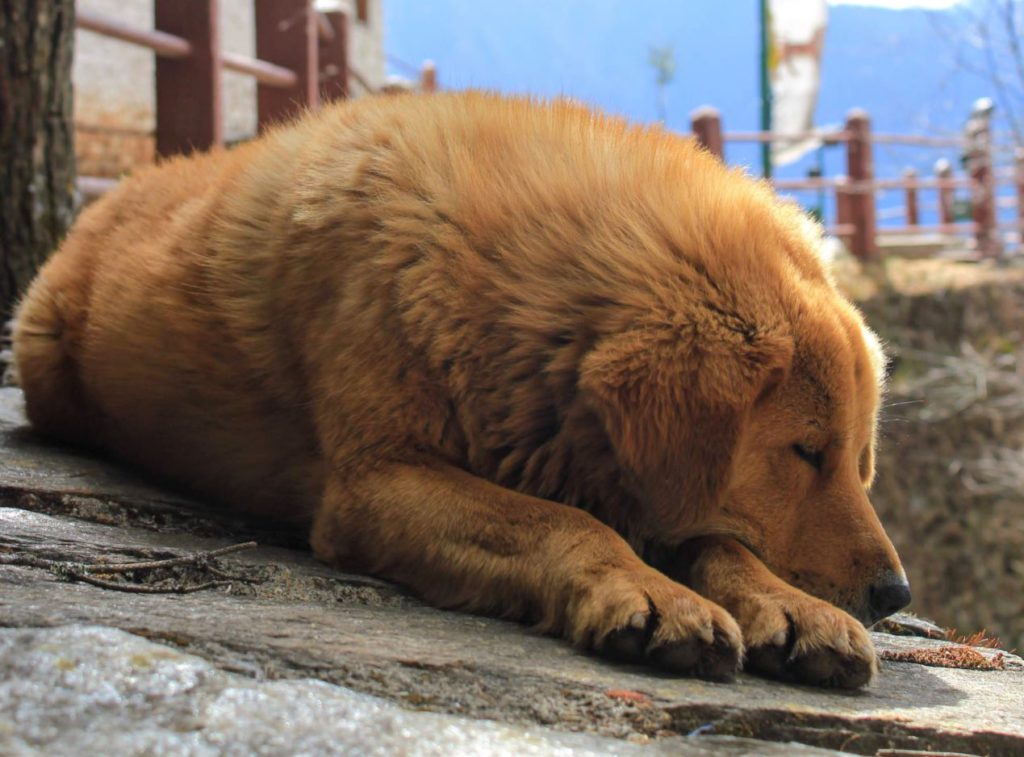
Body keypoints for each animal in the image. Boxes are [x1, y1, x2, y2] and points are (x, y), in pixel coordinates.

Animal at [16, 91, 909, 688]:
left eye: (857, 461)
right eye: (804, 450)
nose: (895, 593)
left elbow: (720, 539)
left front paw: (788, 605)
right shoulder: (379, 482)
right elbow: (565, 522)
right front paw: (650, 592)